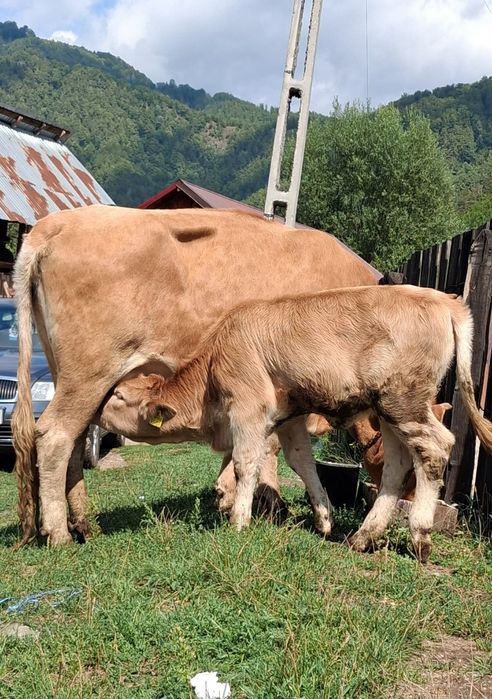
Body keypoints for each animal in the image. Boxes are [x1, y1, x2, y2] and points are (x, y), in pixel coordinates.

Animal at [12, 205, 379, 547]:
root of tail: (57, 222)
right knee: (55, 436)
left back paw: (85, 524)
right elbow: (268, 449)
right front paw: (266, 503)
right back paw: (59, 532)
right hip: (89, 373)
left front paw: (230, 494)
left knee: (74, 440)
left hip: (72, 378)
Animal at [108, 285, 492, 563]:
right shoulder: (287, 417)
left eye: (119, 396)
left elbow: (245, 462)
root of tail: (441, 299)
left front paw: (238, 520)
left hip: (406, 401)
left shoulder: (248, 407)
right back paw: (363, 536)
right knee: (397, 464)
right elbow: (301, 462)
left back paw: (420, 537)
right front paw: (323, 517)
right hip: (389, 410)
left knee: (435, 448)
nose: (98, 414)